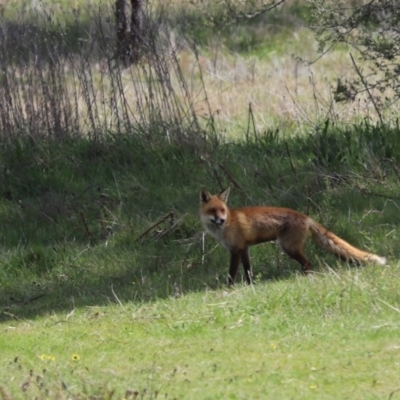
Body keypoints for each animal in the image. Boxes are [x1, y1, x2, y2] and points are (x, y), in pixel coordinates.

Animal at [200, 188, 388, 284]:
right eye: (213, 211)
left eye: (222, 210)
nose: (221, 220)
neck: (228, 224)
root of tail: (306, 217)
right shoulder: (244, 248)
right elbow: (248, 271)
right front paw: (250, 286)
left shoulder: (236, 250)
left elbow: (231, 274)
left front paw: (229, 289)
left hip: (288, 247)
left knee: (308, 263)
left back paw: (303, 279)